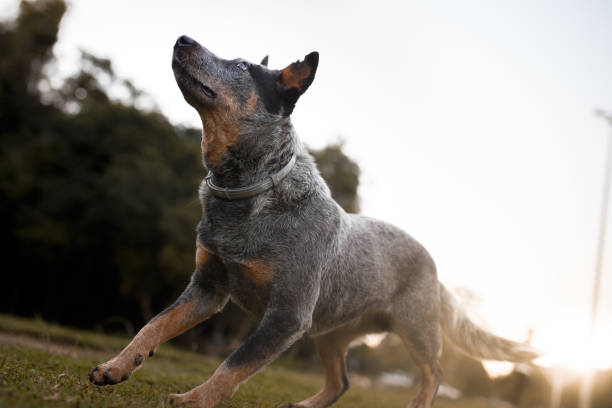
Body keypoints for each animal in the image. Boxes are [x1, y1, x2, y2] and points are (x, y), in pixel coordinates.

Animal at [88, 35, 536, 408]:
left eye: (241, 66)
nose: (182, 38)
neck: (247, 192)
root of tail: (435, 268)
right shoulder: (208, 288)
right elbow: (153, 325)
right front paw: (115, 367)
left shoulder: (288, 315)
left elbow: (234, 362)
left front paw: (194, 399)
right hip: (329, 332)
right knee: (342, 381)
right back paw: (305, 405)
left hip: (415, 330)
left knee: (434, 374)